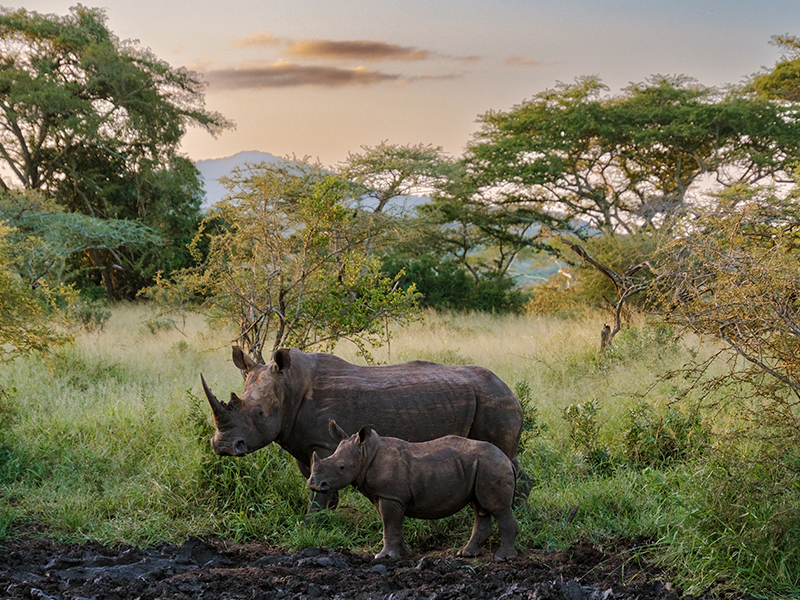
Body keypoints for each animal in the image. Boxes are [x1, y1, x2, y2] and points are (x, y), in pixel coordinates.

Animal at [200, 346, 529, 513]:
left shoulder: (323, 442)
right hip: (488, 397)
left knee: (504, 455)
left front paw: (312, 521)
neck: (289, 385)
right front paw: (326, 517)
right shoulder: (302, 442)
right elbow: (314, 478)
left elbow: (317, 488)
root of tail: (510, 388)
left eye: (258, 413)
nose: (224, 447)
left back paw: (517, 512)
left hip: (493, 399)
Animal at [308, 421, 519, 561]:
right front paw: (403, 554)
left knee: (498, 508)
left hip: (492, 466)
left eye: (341, 467)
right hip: (480, 466)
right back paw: (466, 554)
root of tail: (507, 459)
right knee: (479, 506)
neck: (366, 453)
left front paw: (384, 557)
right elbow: (392, 524)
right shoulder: (384, 495)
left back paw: (503, 558)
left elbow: (389, 523)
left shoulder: (390, 495)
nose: (314, 485)